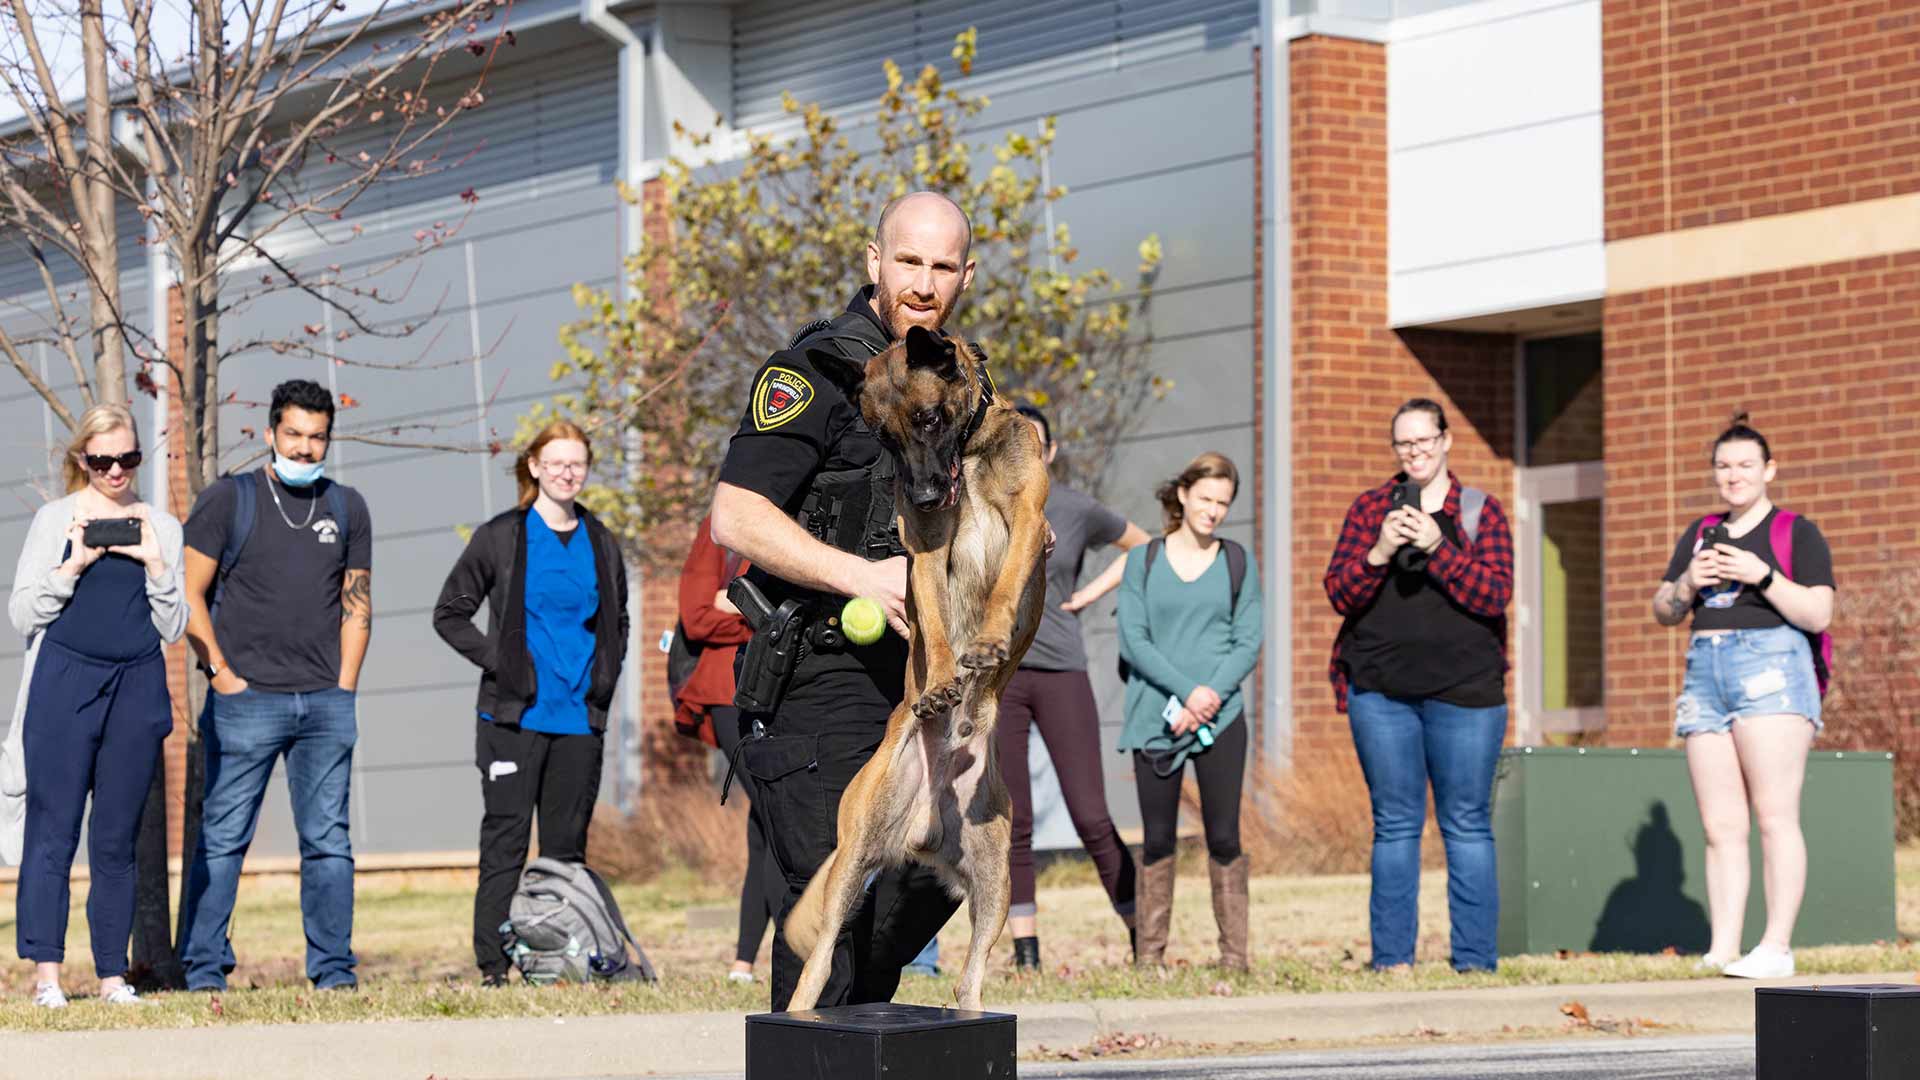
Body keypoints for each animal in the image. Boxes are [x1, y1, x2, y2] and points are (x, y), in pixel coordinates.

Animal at [779, 320, 1052, 1006]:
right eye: (883, 438)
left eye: (929, 418)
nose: (925, 493)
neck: (970, 451)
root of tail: (925, 828)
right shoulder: (925, 551)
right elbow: (932, 619)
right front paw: (942, 681)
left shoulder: (1028, 522)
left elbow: (1005, 589)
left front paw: (986, 645)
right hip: (854, 860)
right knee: (820, 960)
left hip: (996, 883)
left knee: (969, 982)